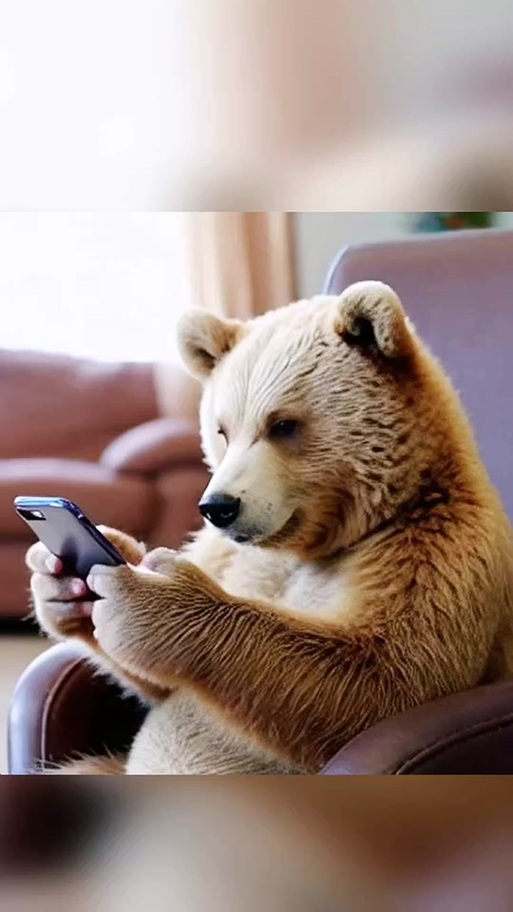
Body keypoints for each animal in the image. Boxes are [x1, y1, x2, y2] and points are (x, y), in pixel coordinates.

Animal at [28, 280, 513, 774]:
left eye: (282, 424)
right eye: (222, 430)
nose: (218, 506)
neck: (318, 541)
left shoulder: (429, 551)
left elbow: (382, 681)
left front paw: (146, 598)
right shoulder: (229, 553)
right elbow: (158, 684)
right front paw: (61, 582)